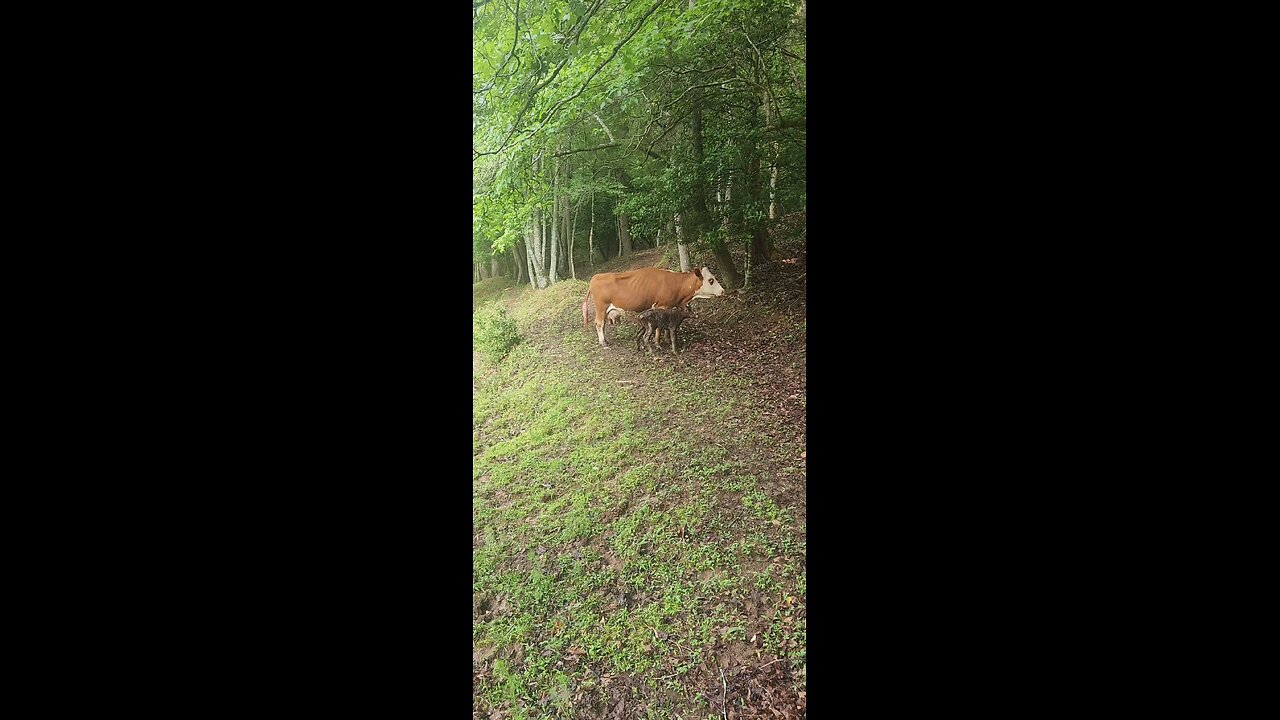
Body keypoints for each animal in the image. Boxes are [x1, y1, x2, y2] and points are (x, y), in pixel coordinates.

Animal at [581, 267, 725, 347]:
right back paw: (603, 342)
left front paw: (666, 339)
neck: (675, 283)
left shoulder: (669, 307)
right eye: (711, 280)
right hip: (601, 307)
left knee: (603, 324)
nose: (723, 291)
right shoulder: (661, 306)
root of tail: (595, 277)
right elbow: (659, 327)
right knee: (599, 323)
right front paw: (658, 342)